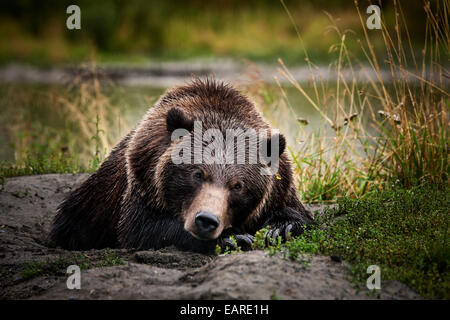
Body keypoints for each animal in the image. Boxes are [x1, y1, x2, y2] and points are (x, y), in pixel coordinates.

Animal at [50, 79, 312, 252]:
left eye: (238, 185)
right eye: (198, 174)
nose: (206, 220)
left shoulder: (281, 186)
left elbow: (298, 215)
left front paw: (280, 228)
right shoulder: (143, 181)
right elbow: (142, 228)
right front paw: (233, 238)